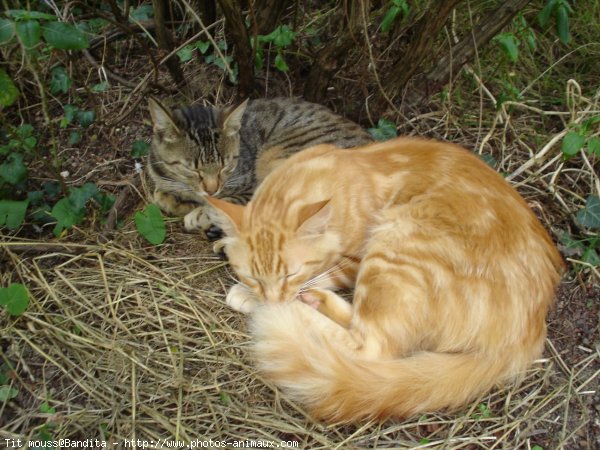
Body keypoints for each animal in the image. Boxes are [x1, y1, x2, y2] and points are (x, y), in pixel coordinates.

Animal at [146, 96, 370, 234]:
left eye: (225, 165)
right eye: (192, 168)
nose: (212, 189)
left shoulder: (248, 189)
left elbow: (224, 202)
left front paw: (197, 213)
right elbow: (160, 194)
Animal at [205, 136, 564, 422]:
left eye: (290, 273)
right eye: (253, 275)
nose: (271, 299)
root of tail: (526, 334)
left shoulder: (353, 261)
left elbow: (323, 274)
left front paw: (257, 298)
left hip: (396, 243)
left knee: (372, 346)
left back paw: (294, 311)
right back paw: (311, 302)